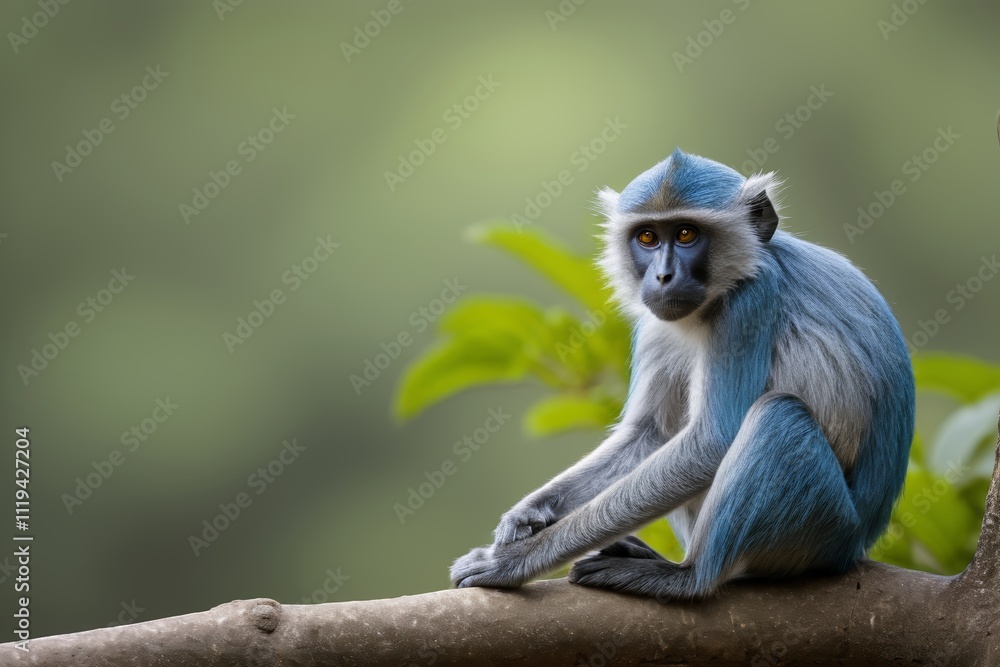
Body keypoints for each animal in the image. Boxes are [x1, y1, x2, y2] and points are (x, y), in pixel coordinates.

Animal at [449, 148, 915, 600]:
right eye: (648, 237)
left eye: (687, 234)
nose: (663, 275)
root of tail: (856, 543)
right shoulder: (655, 320)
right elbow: (649, 434)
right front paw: (531, 512)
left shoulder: (750, 297)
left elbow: (712, 442)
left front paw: (517, 560)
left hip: (824, 527)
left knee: (778, 416)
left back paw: (687, 578)